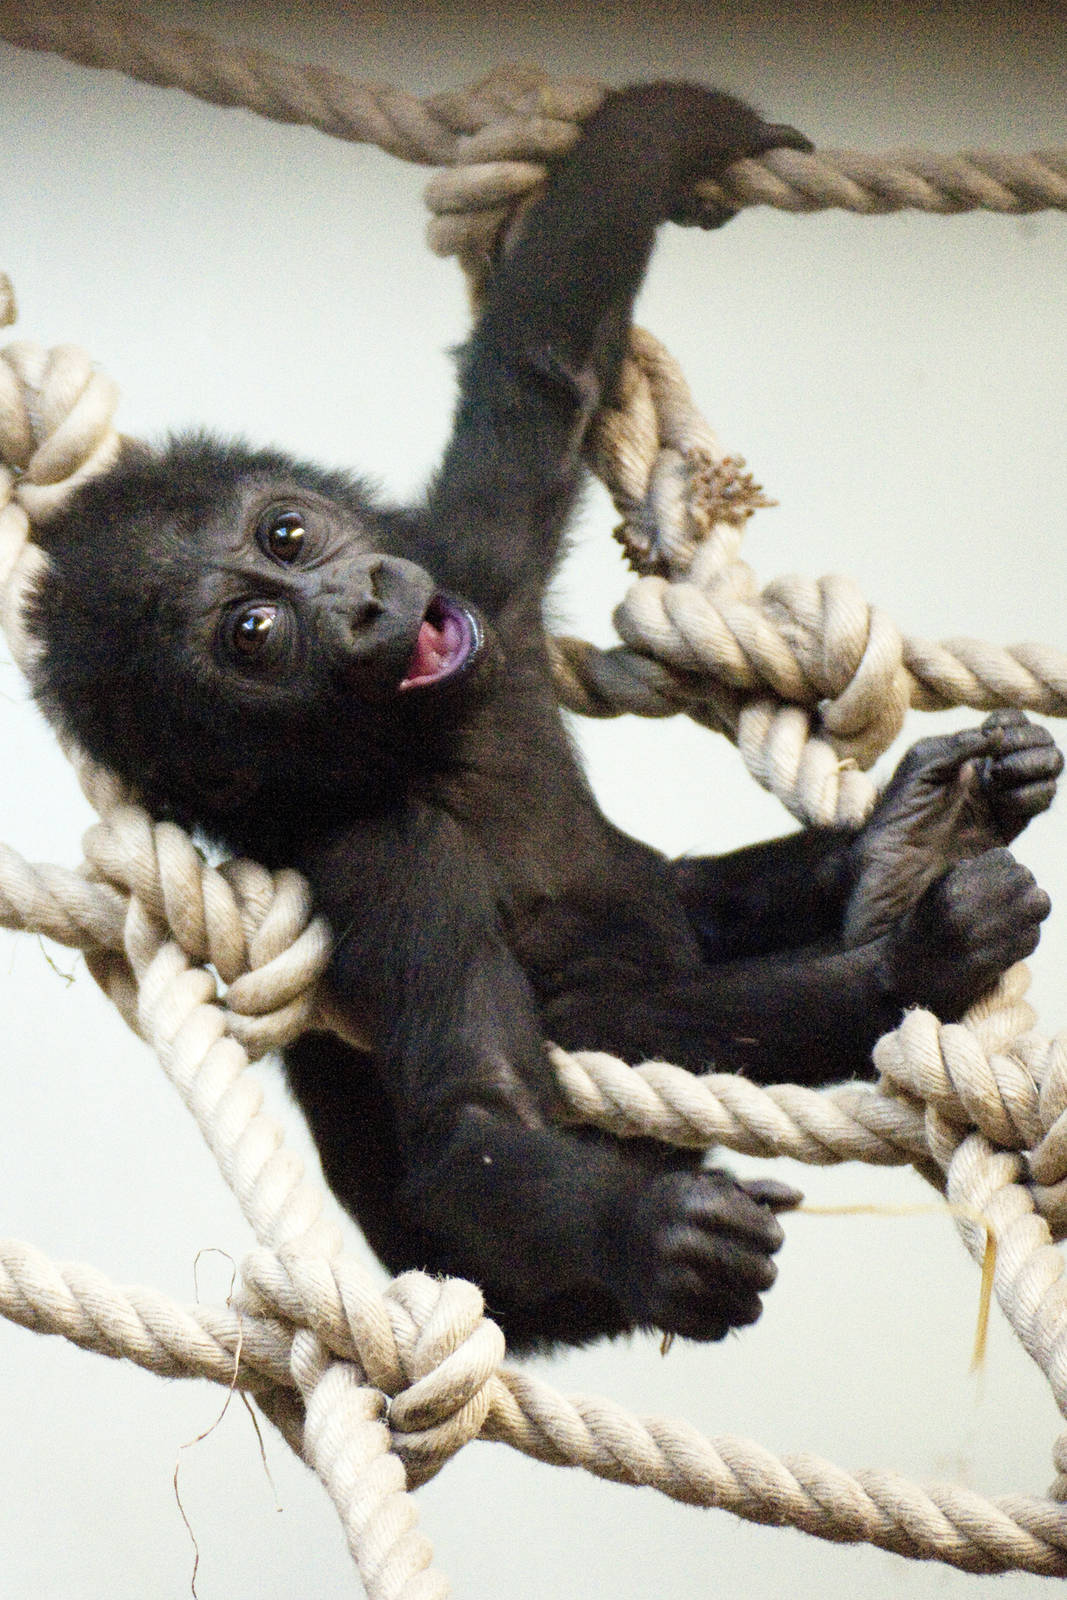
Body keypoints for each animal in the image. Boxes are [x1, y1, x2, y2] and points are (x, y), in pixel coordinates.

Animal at [24, 84, 1059, 1353]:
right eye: (255, 637)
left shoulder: (472, 563)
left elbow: (544, 363)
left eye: (286, 534)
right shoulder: (384, 850)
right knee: (615, 1013)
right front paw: (648, 1233)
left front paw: (678, 127)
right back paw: (908, 944)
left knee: (677, 894)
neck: (432, 740)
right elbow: (479, 1109)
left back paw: (904, 839)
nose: (363, 604)